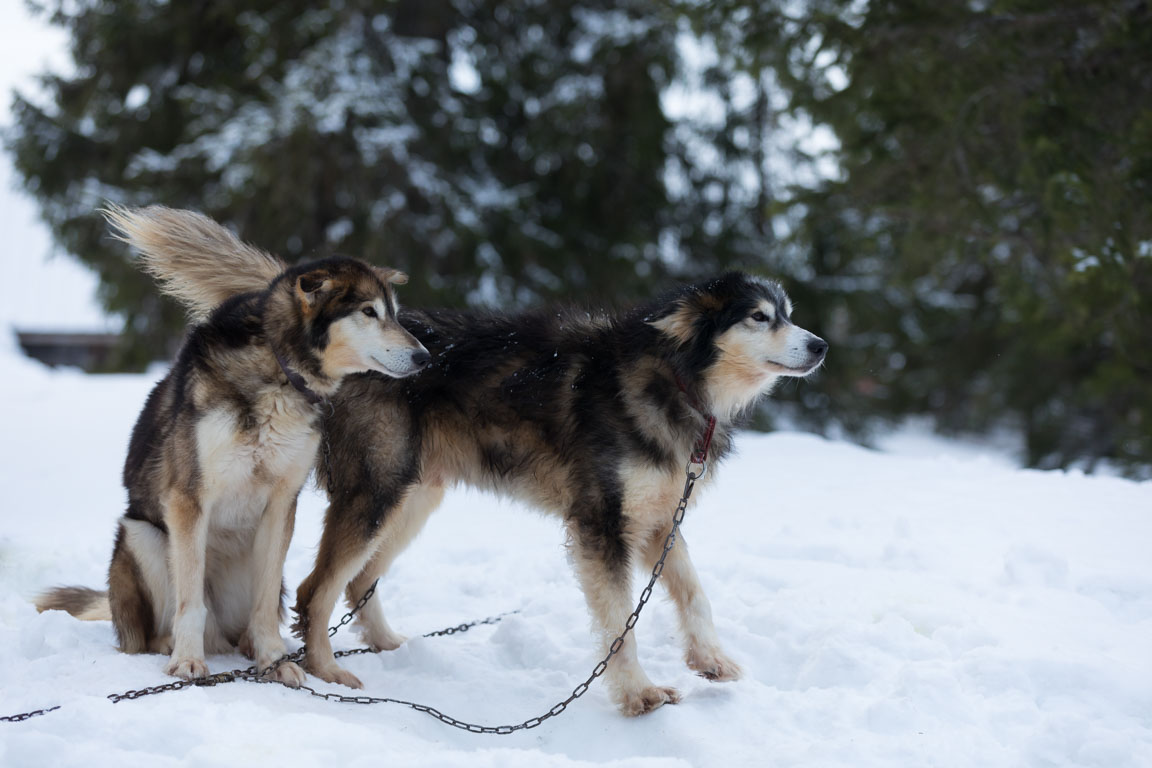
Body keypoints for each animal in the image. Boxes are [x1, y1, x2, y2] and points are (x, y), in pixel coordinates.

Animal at [39, 206, 433, 686]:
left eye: (394, 313)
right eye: (368, 312)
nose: (425, 357)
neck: (281, 371)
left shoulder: (281, 503)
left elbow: (264, 609)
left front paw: (274, 662)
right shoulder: (189, 499)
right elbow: (191, 602)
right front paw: (188, 663)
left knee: (252, 614)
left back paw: (250, 647)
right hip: (144, 536)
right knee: (158, 629)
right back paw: (174, 646)